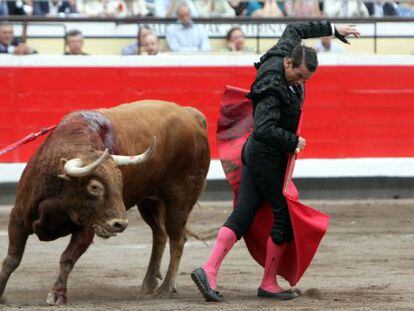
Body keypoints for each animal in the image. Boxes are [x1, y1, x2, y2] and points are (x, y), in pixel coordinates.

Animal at [0, 101, 210, 306]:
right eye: (94, 187)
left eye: (120, 182)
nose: (119, 224)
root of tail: (192, 116)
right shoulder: (18, 218)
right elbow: (11, 259)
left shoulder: (87, 229)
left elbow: (67, 258)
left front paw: (57, 294)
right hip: (149, 201)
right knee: (160, 234)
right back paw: (148, 284)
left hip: (180, 196)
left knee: (177, 237)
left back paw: (165, 288)